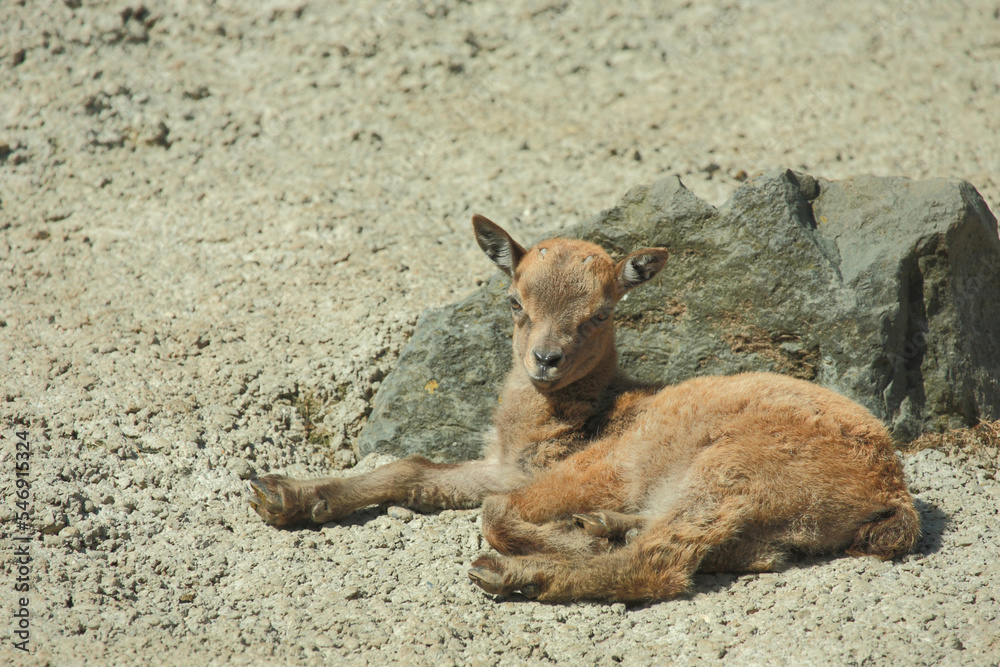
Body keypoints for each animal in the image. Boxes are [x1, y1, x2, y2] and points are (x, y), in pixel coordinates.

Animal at [249, 215, 920, 602]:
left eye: (600, 313)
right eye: (515, 301)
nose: (544, 360)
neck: (582, 417)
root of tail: (891, 494)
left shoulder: (598, 466)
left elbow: (493, 513)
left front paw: (556, 545)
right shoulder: (505, 467)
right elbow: (415, 471)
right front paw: (282, 494)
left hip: (737, 470)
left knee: (662, 564)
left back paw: (525, 571)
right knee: (748, 552)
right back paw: (604, 528)